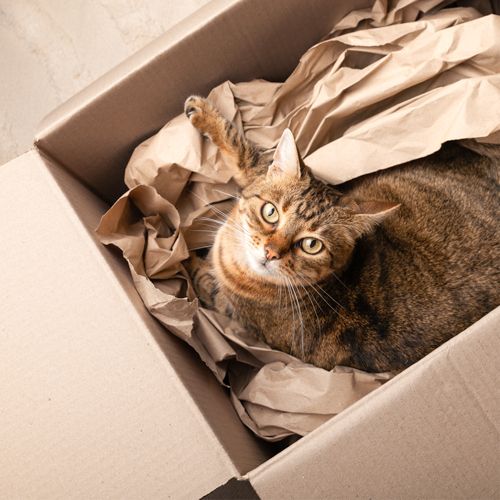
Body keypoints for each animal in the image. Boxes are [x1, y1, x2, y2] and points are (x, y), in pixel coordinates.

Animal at [184, 95, 500, 373]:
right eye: (270, 212)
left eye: (311, 245)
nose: (271, 253)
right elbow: (248, 157)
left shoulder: (227, 304)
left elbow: (198, 277)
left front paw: (179, 260)